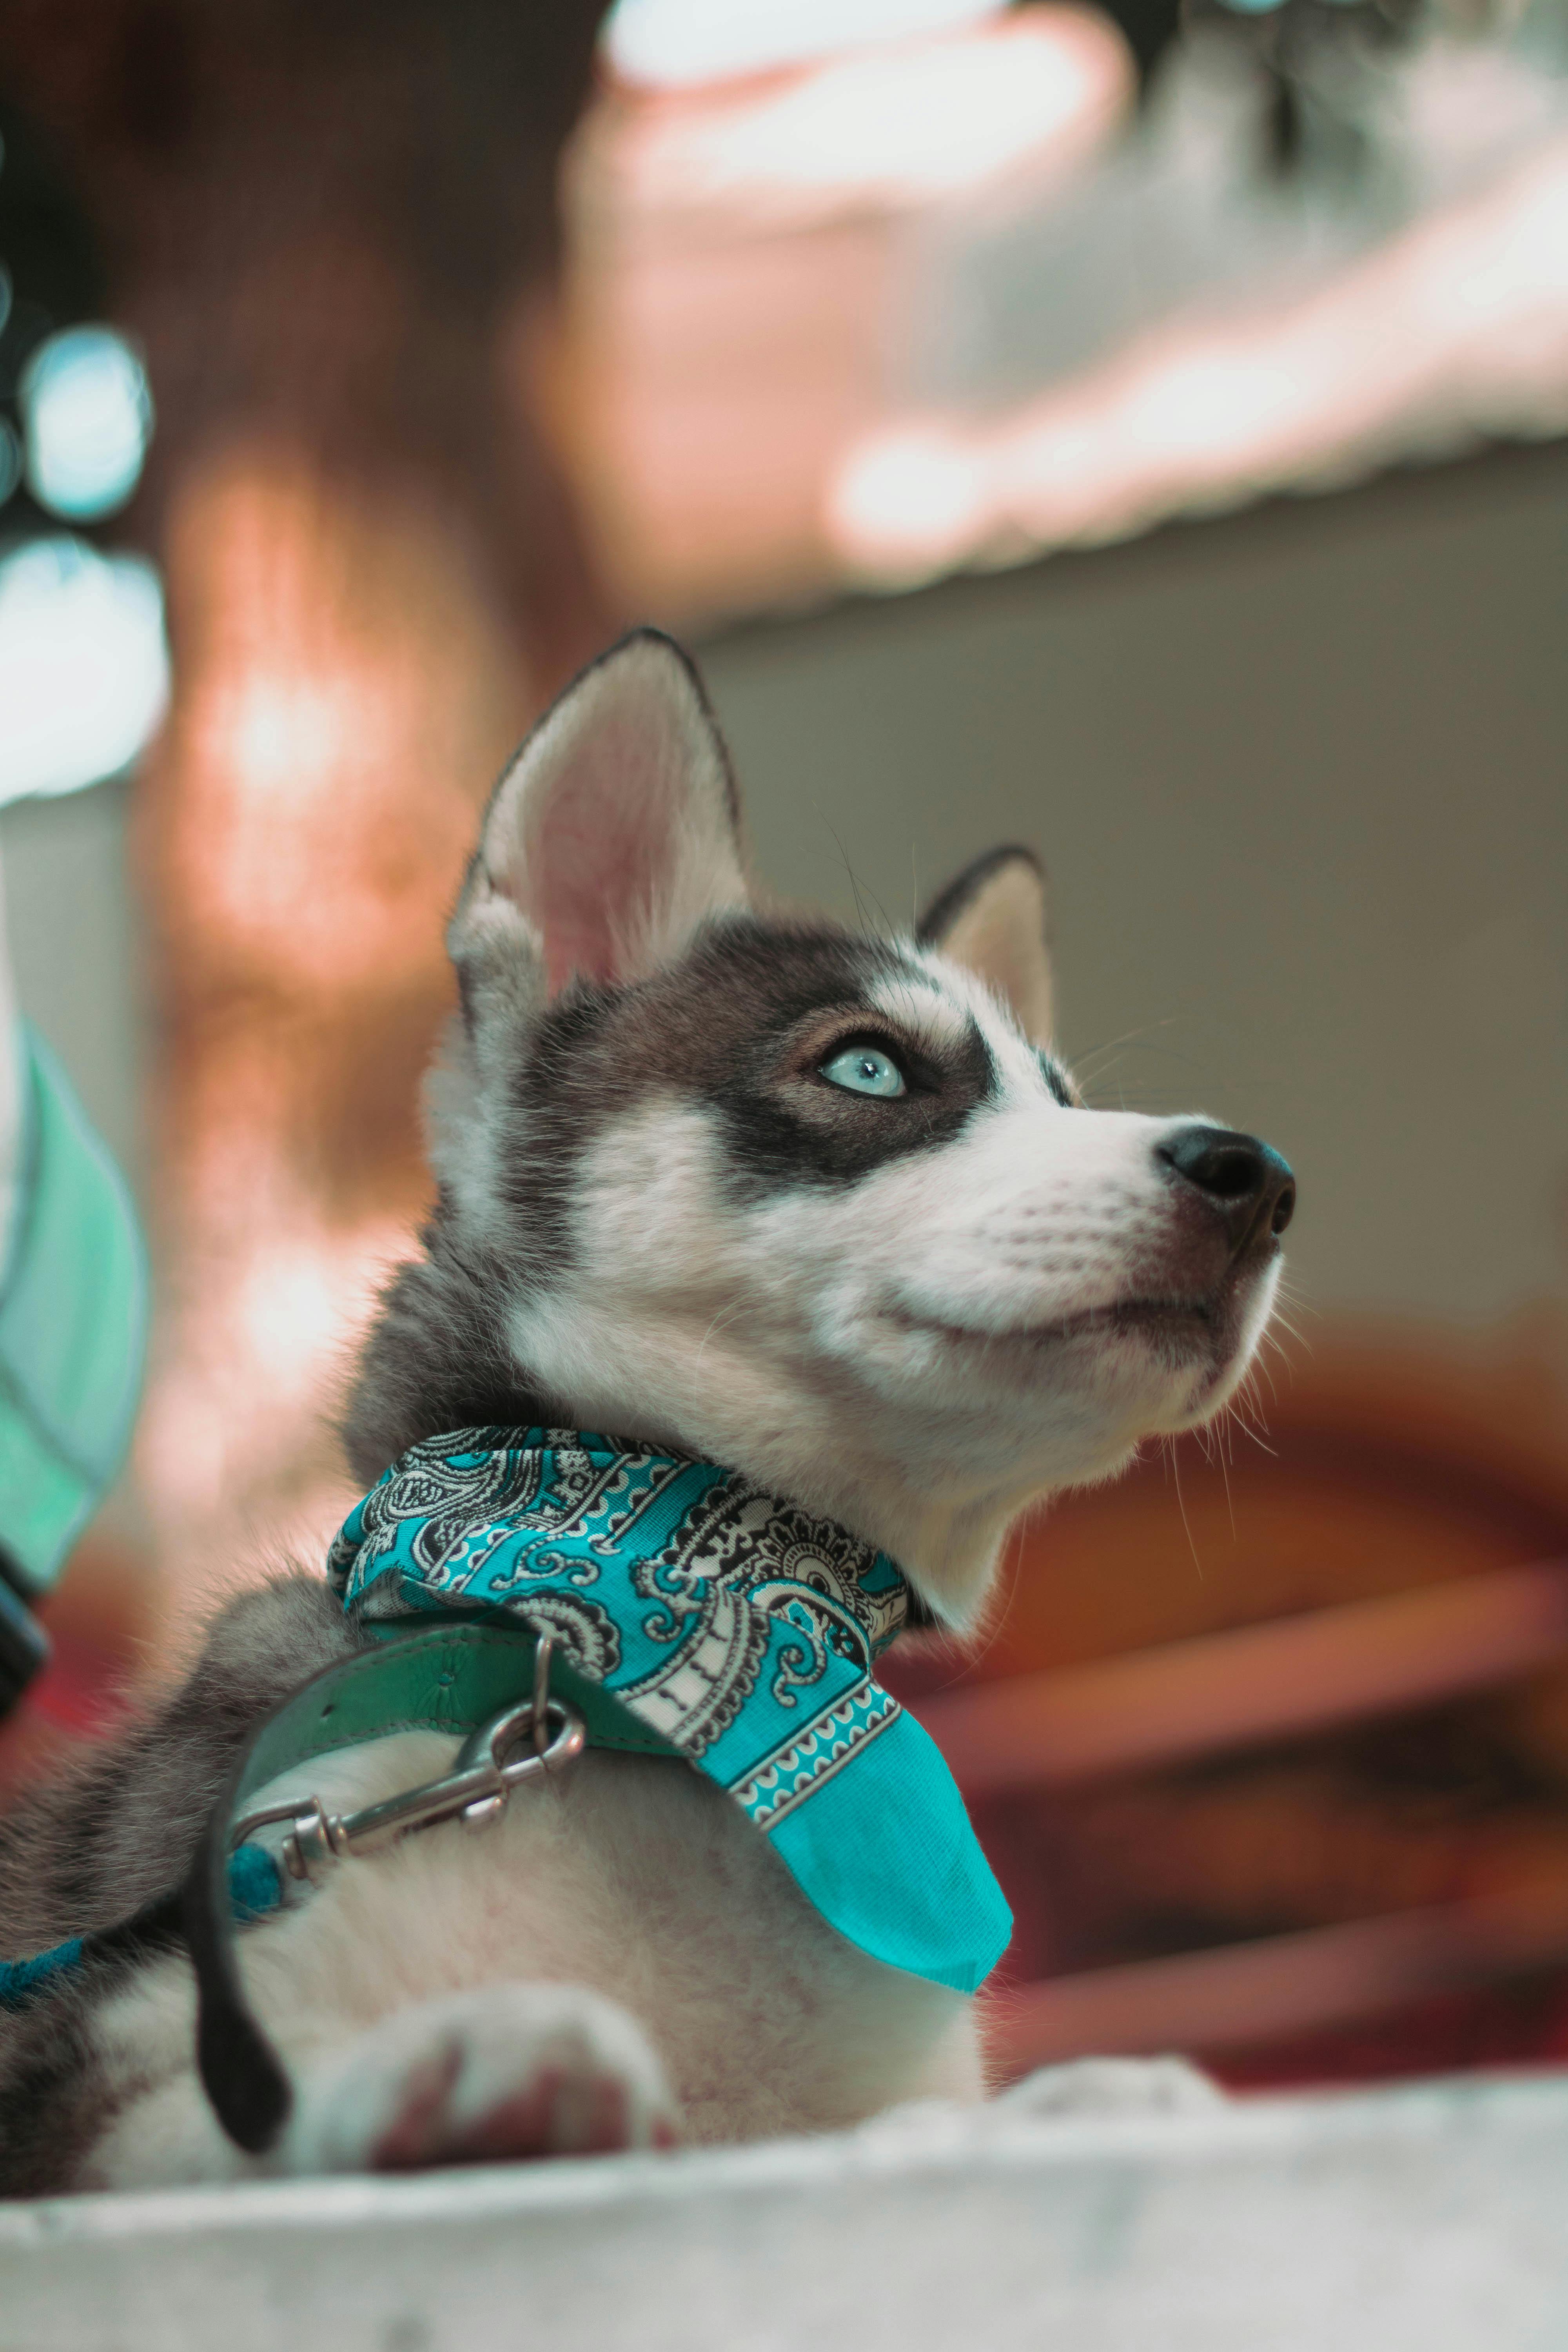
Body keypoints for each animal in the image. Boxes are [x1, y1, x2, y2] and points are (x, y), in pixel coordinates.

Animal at [0, 635, 1298, 2192]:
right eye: (868, 1065)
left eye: (1059, 1097)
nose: (1256, 1175)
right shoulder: (90, 2053)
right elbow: (224, 2119)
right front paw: (441, 2067)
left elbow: (904, 2125)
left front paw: (1079, 2102)